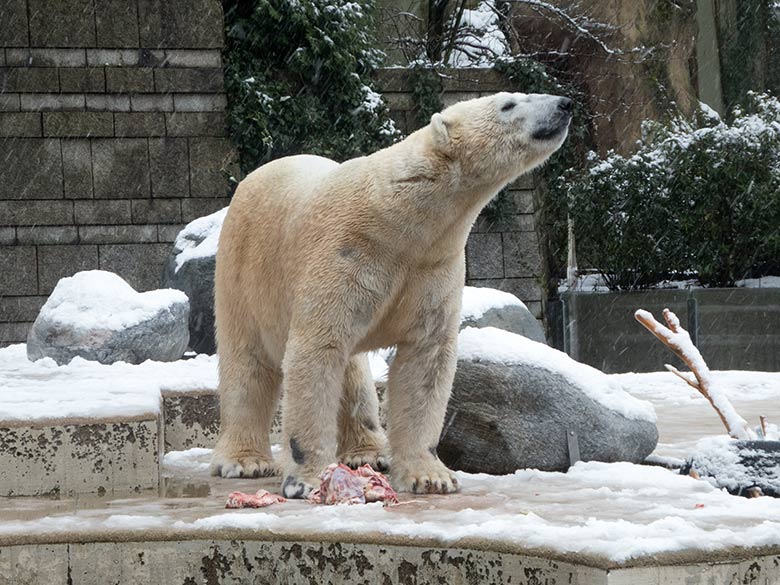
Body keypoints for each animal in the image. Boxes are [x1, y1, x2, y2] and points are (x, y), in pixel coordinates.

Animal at [210, 92, 568, 498]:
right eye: (508, 104)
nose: (565, 104)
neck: (401, 219)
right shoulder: (344, 252)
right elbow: (316, 352)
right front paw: (307, 479)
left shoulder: (432, 264)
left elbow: (426, 359)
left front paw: (431, 476)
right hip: (244, 269)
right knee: (247, 363)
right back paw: (245, 461)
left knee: (354, 376)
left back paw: (367, 453)